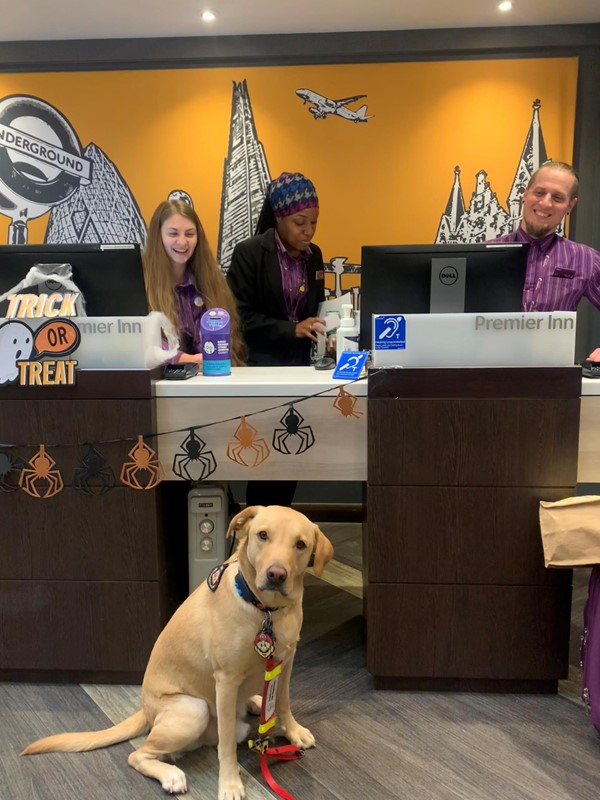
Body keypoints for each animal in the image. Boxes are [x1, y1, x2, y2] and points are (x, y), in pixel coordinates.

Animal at [22, 506, 332, 800]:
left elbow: (283, 702)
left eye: (301, 544)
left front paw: (293, 731)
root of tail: (145, 709)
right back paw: (170, 776)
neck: (266, 611)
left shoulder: (286, 662)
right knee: (138, 754)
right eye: (263, 535)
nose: (276, 574)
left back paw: (255, 702)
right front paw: (230, 783)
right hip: (192, 709)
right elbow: (226, 746)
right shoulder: (226, 680)